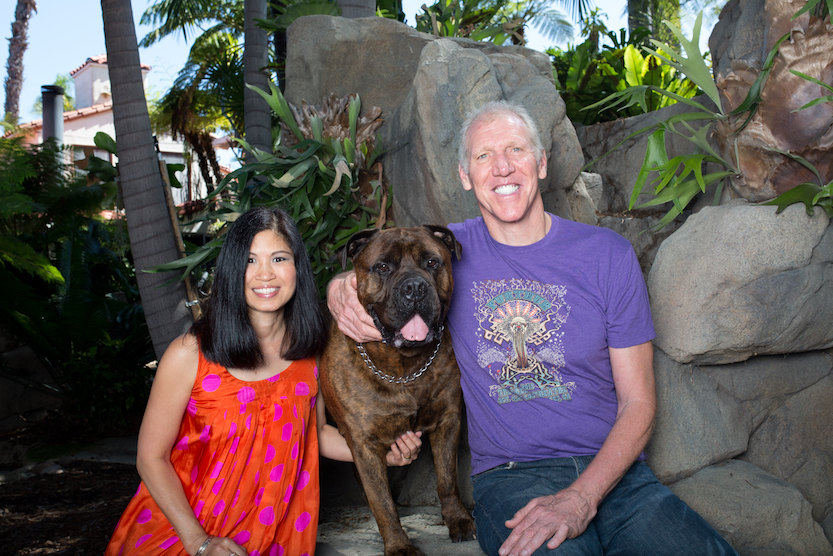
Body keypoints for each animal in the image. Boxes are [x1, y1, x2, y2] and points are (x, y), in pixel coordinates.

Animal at [318, 225, 474, 556]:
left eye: (432, 262)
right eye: (383, 267)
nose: (414, 287)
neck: (405, 368)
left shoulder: (448, 421)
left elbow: (447, 479)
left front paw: (458, 520)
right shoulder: (364, 444)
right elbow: (383, 502)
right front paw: (399, 545)